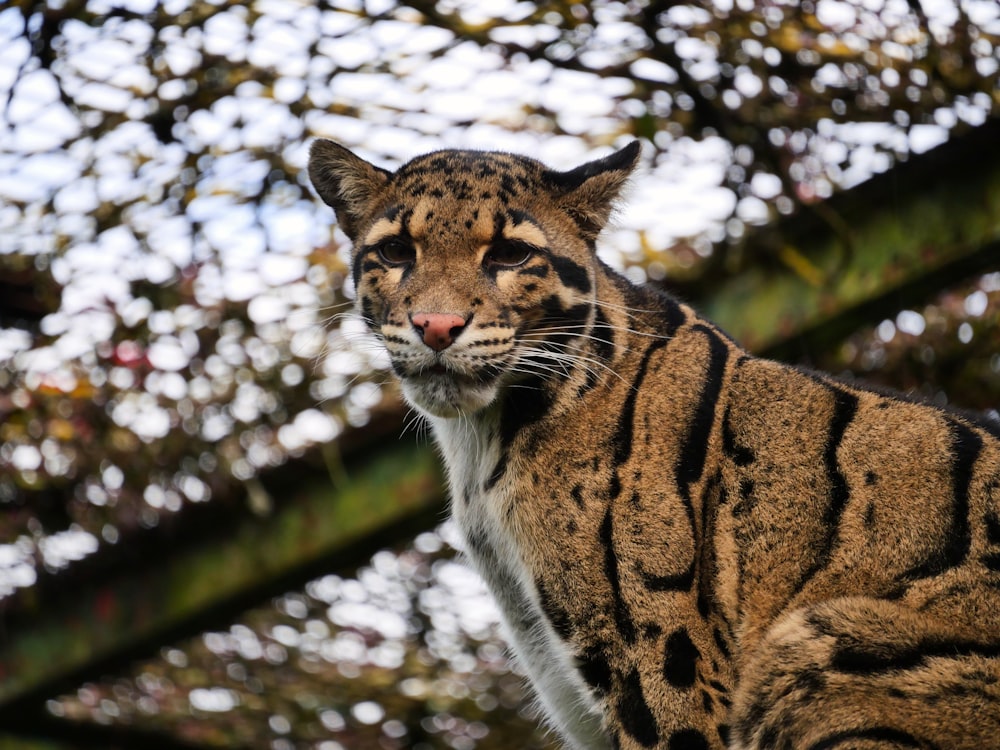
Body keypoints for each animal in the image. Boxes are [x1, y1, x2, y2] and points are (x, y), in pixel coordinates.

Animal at [306, 141, 1000, 750]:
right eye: (396, 250)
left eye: (509, 254)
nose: (436, 326)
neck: (482, 441)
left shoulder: (664, 662)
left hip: (819, 642)